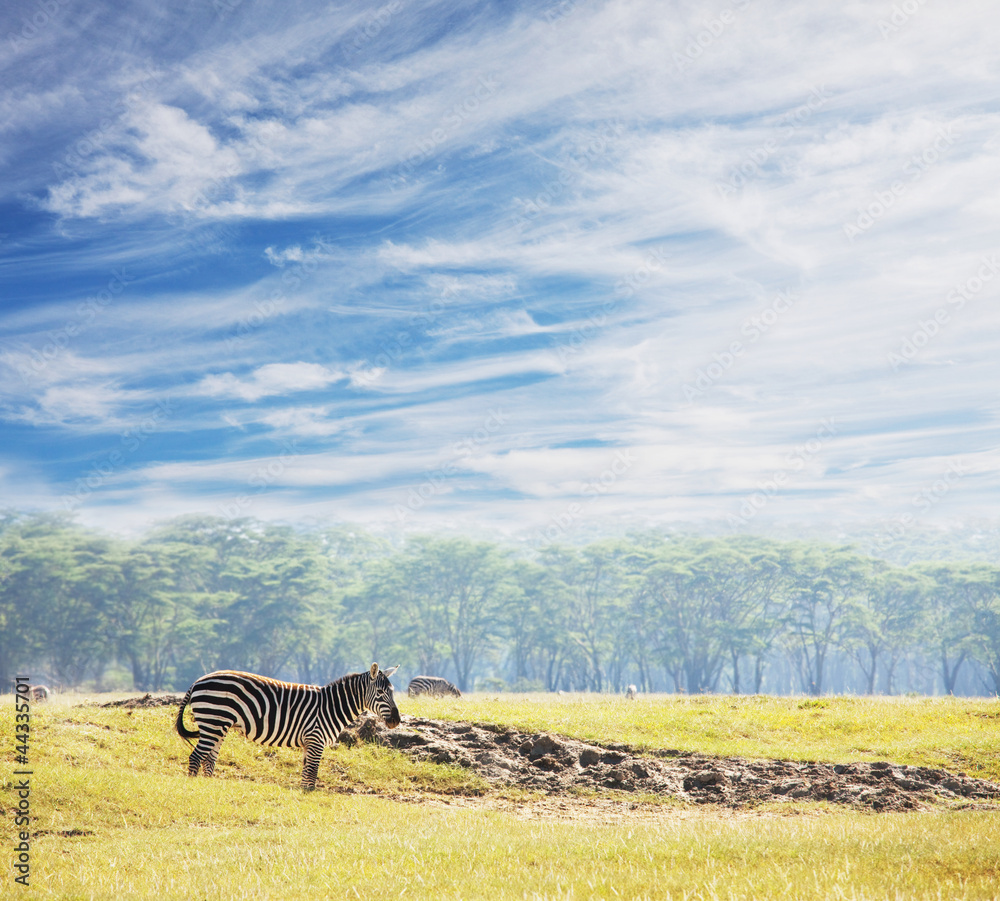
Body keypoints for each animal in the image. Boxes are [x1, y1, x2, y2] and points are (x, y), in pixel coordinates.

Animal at [175, 663, 400, 791]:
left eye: (392, 691)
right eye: (381, 692)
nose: (396, 721)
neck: (331, 706)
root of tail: (198, 680)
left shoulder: (309, 743)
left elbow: (306, 774)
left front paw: (303, 794)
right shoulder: (315, 739)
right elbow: (312, 774)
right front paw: (308, 795)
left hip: (219, 725)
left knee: (209, 759)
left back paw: (208, 785)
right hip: (212, 721)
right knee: (196, 757)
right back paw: (194, 787)